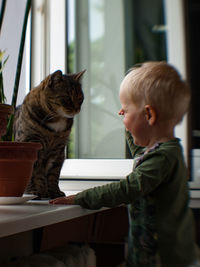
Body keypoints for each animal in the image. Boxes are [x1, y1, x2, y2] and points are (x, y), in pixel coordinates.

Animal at [13, 70, 84, 200]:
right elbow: (34, 172)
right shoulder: (31, 143)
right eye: (67, 98)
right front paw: (36, 191)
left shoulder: (58, 151)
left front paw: (54, 192)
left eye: (80, 98)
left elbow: (53, 173)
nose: (77, 109)